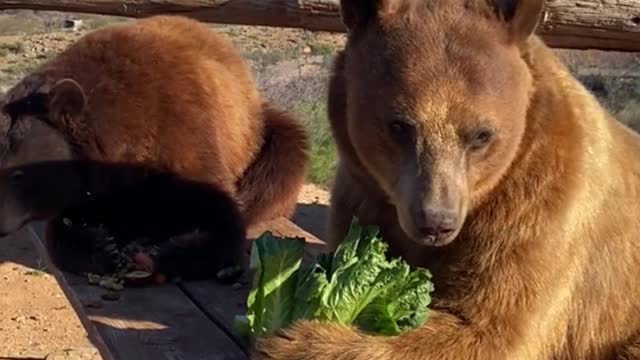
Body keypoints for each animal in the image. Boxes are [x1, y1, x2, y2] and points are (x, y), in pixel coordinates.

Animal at [0, 16, 308, 284]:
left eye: (18, 173)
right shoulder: (95, 187)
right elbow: (64, 227)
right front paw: (103, 247)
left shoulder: (186, 132)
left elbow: (221, 214)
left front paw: (167, 253)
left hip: (258, 132)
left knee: (281, 162)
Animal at [252, 0, 640, 358]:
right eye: (399, 126)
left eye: (482, 135)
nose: (436, 222)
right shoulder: (364, 191)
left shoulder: (541, 211)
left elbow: (489, 329)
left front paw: (295, 340)